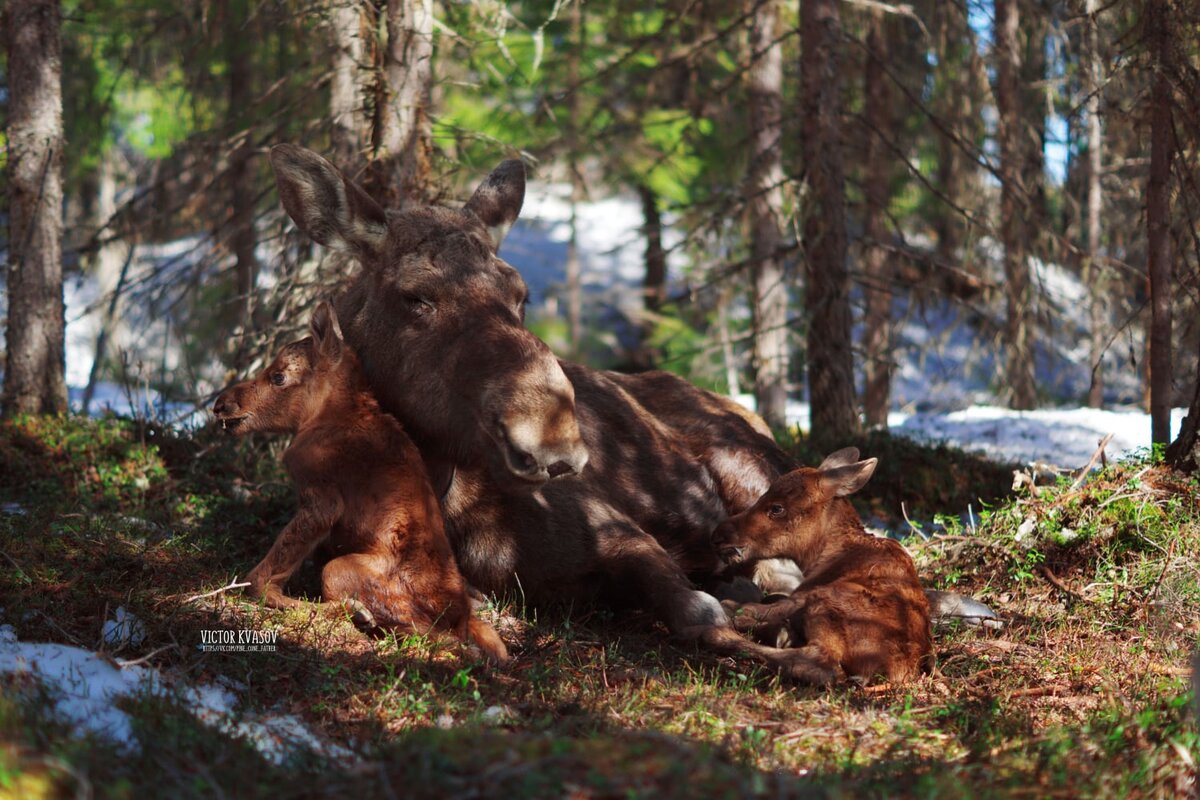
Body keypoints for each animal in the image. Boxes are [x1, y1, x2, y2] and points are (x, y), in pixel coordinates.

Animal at [211, 302, 506, 662]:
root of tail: (459, 619)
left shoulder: (322, 500)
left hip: (339, 570)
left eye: (278, 376)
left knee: (430, 635)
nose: (221, 405)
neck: (321, 416)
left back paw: (360, 614)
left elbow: (261, 578)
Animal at [266, 146, 801, 666]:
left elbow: (697, 610)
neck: (446, 498)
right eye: (415, 295)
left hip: (755, 475)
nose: (551, 444)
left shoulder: (619, 532)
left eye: (521, 294)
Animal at [705, 448, 931, 686]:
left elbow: (751, 605)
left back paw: (722, 634)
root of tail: (895, 669)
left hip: (824, 600)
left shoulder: (802, 595)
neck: (819, 557)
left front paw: (732, 609)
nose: (718, 535)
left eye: (777, 508)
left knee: (821, 665)